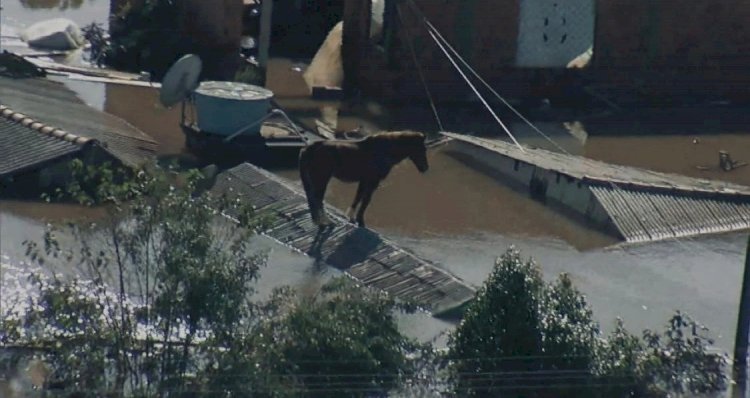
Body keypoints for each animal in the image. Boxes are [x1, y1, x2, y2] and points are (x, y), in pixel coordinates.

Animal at [300, 131, 428, 227]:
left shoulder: (364, 181)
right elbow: (366, 201)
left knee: (313, 198)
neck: (383, 151)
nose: (425, 168)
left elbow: (358, 198)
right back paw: (325, 222)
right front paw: (361, 222)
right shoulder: (373, 182)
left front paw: (351, 218)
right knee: (317, 199)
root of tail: (310, 147)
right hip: (322, 179)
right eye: (422, 149)